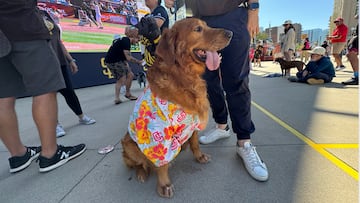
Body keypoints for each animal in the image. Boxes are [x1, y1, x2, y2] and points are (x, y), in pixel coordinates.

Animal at [121, 17, 232, 198]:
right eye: (198, 29)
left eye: (207, 25)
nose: (230, 33)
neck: (183, 75)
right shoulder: (158, 134)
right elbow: (161, 163)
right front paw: (164, 184)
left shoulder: (193, 122)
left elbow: (195, 143)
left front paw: (199, 156)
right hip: (128, 144)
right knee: (139, 164)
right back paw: (142, 173)